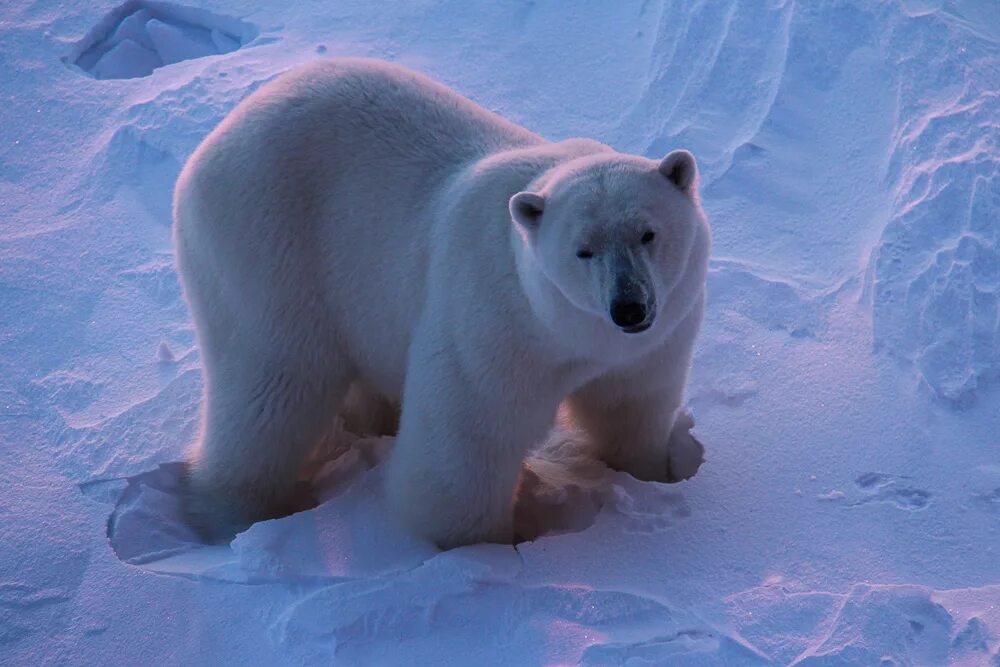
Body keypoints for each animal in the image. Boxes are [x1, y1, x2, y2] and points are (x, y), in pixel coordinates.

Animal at [178, 57, 712, 548]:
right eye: (583, 250)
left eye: (648, 234)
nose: (630, 307)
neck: (565, 331)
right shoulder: (494, 321)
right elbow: (467, 441)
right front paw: (481, 550)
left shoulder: (658, 336)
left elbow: (631, 406)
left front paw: (651, 476)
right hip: (268, 244)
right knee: (273, 386)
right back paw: (235, 512)